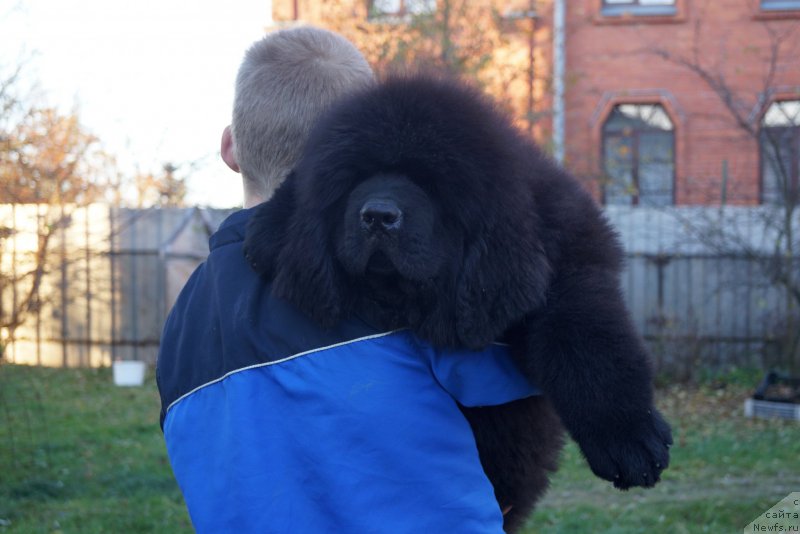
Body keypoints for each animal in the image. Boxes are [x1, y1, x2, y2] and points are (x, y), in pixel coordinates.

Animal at [242, 74, 668, 532]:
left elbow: (588, 340)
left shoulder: (570, 267)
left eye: (430, 184)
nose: (378, 215)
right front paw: (271, 225)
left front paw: (628, 437)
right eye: (356, 178)